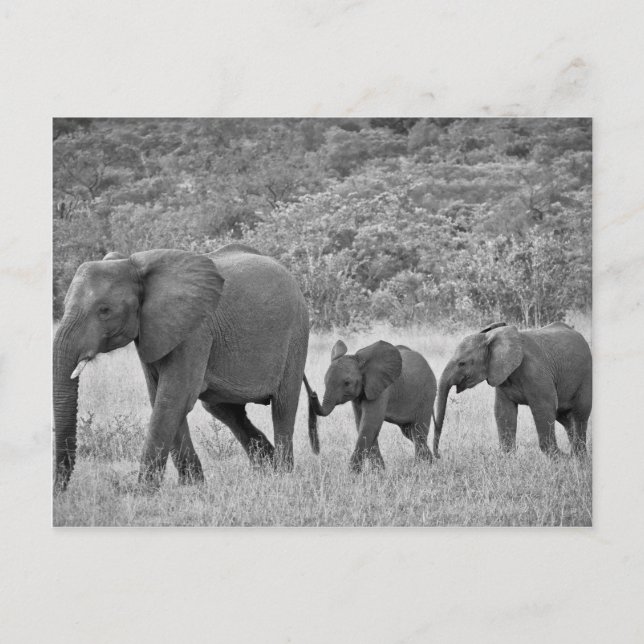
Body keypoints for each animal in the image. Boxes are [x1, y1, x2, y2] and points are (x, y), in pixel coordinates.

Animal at [53, 243, 309, 490]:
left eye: (104, 310)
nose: (60, 489)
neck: (132, 265)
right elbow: (160, 397)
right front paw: (192, 485)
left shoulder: (195, 332)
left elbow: (174, 398)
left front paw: (142, 492)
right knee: (223, 410)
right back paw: (267, 468)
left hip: (296, 334)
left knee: (283, 407)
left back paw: (283, 474)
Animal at [305, 340, 437, 471]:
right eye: (325, 381)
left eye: (347, 383)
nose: (313, 393)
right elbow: (362, 425)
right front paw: (379, 472)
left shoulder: (381, 390)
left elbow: (369, 425)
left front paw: (353, 474)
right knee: (410, 433)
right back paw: (430, 463)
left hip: (427, 395)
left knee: (419, 432)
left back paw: (422, 468)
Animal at [433, 322, 592, 458]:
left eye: (462, 363)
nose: (439, 455)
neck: (490, 337)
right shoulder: (500, 375)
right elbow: (504, 411)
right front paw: (507, 458)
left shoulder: (536, 372)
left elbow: (544, 408)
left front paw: (560, 458)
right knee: (565, 417)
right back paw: (575, 456)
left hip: (585, 376)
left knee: (580, 414)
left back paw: (578, 457)